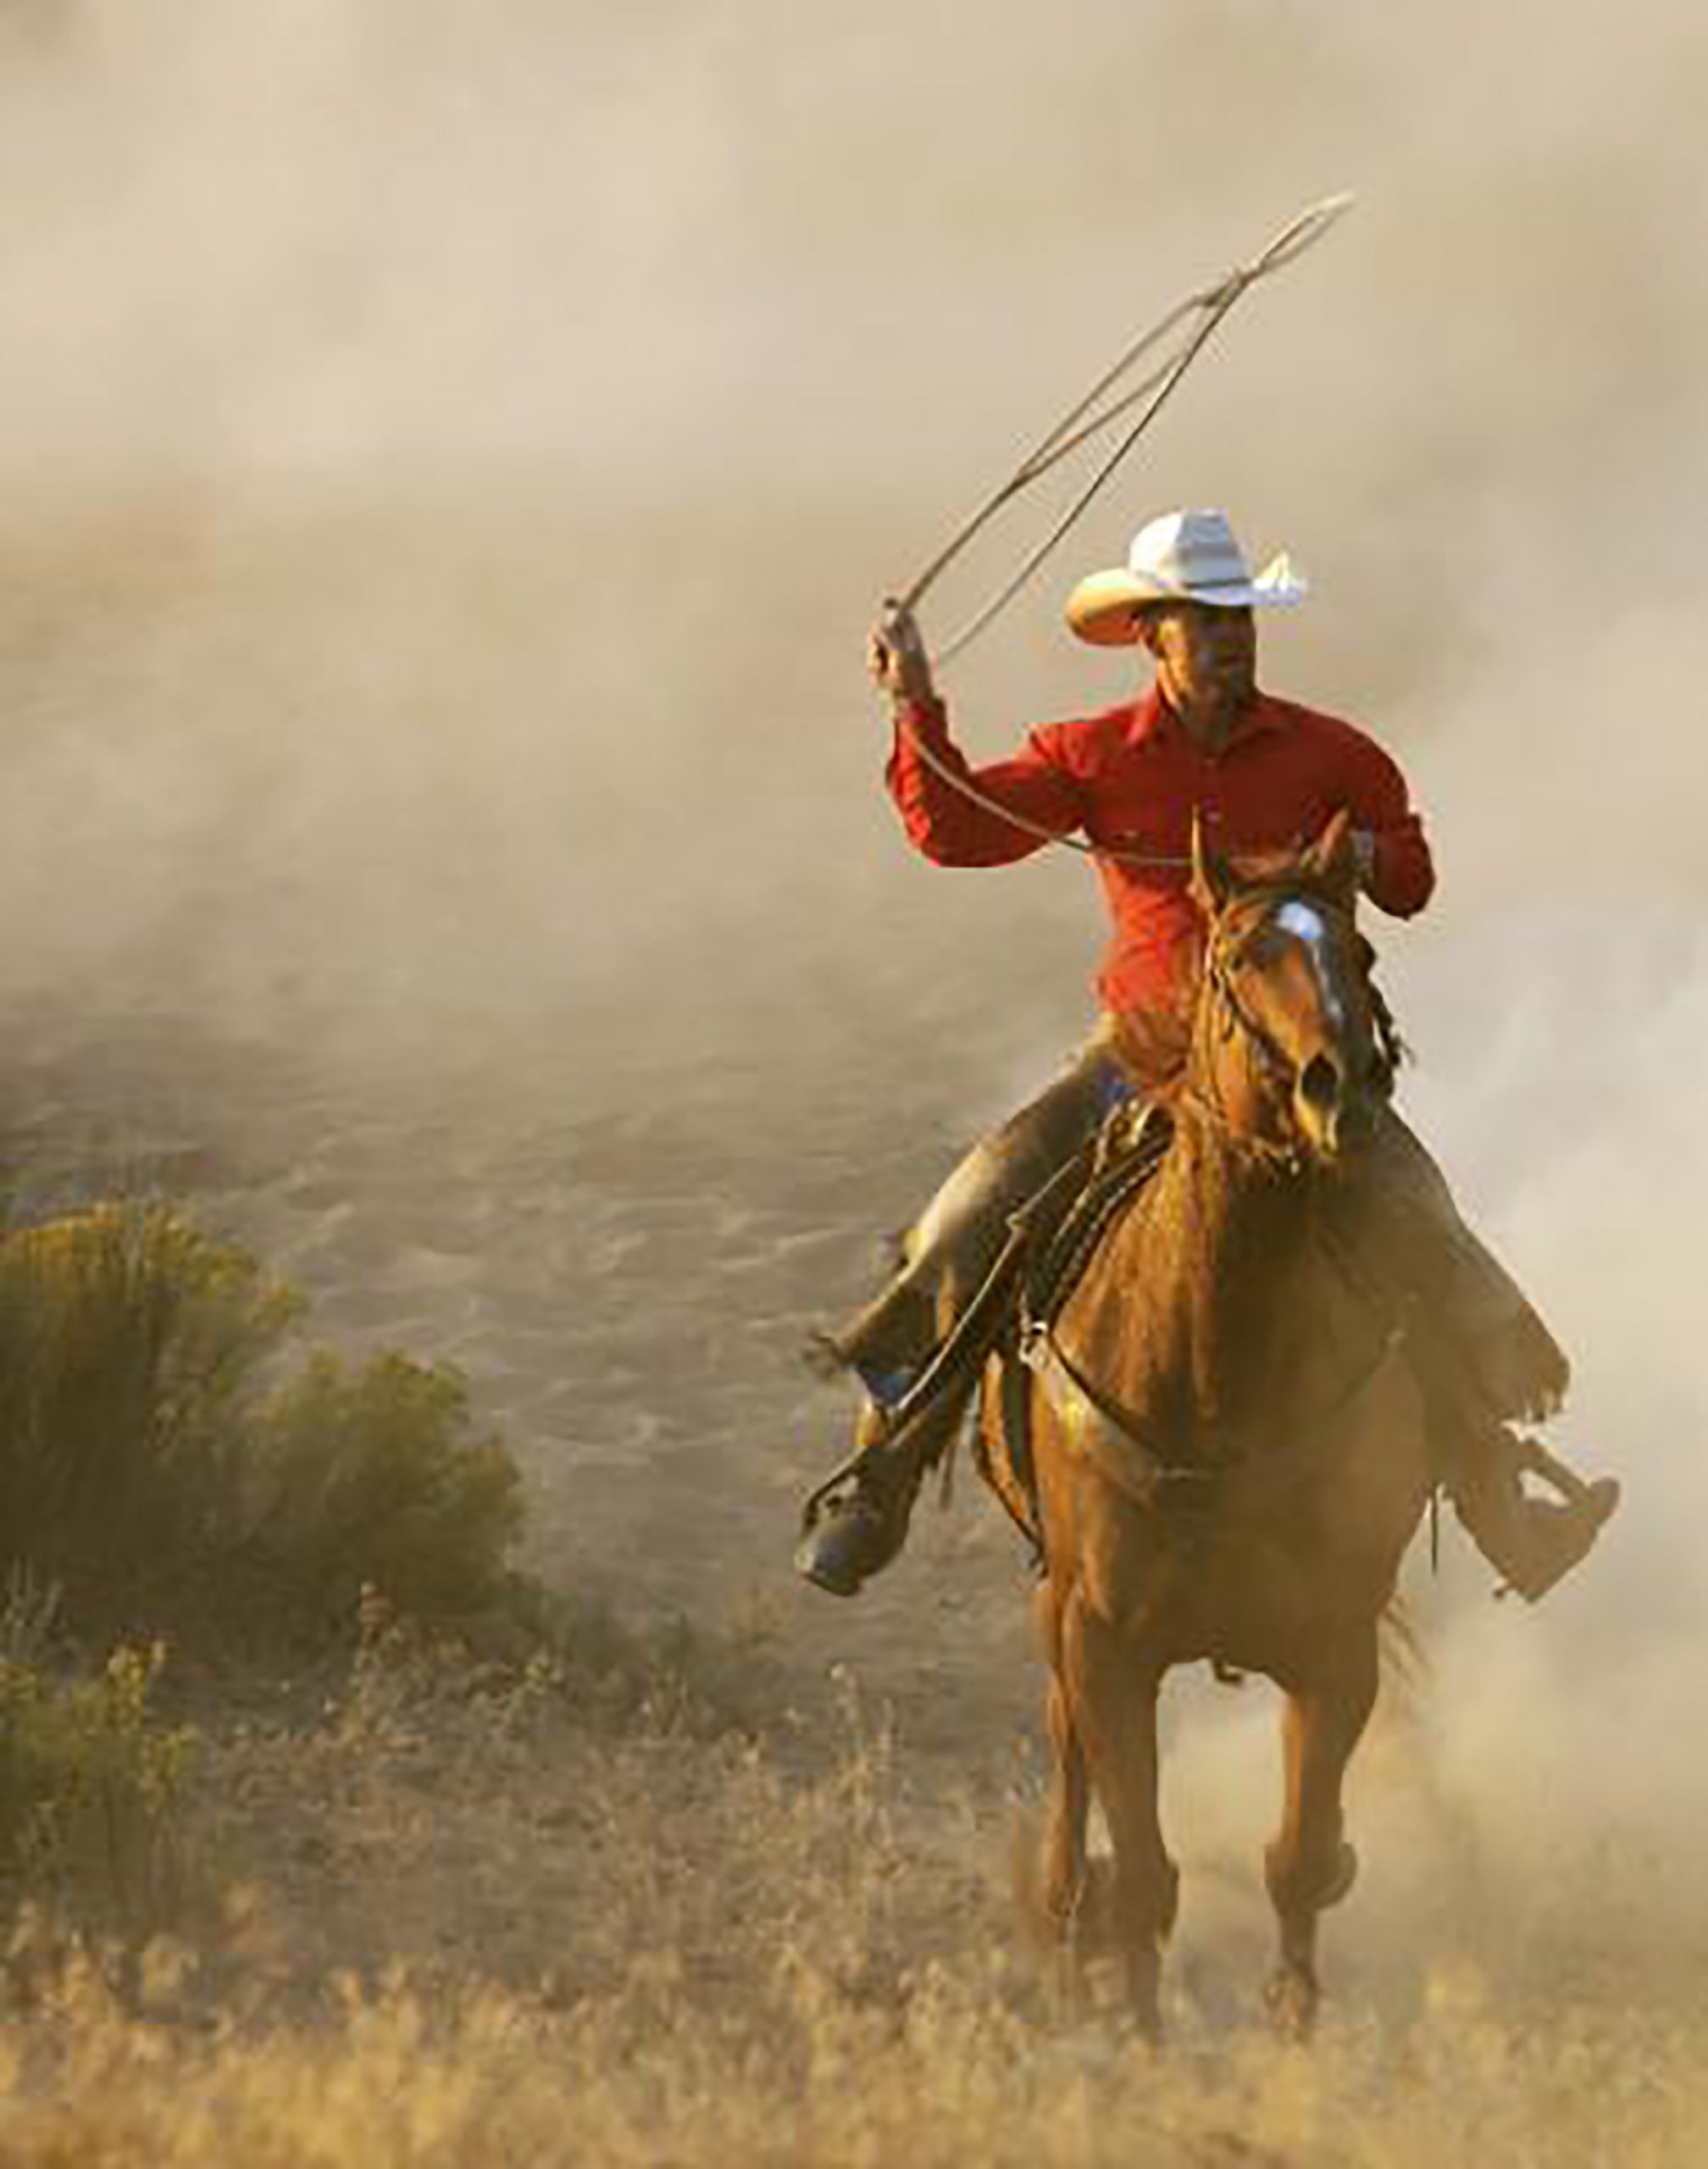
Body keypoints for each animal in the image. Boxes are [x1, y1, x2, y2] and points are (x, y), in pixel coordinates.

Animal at [1001, 811, 1439, 2030]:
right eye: (1242, 957)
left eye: (1361, 952)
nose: (1344, 1091)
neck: (1212, 1375)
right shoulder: (1105, 1643)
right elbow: (1146, 1873)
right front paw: (1141, 2034)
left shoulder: (1335, 1645)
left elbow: (1299, 1855)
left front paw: (1293, 2021)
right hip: (1056, 1611)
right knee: (1068, 1770)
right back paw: (1062, 1926)